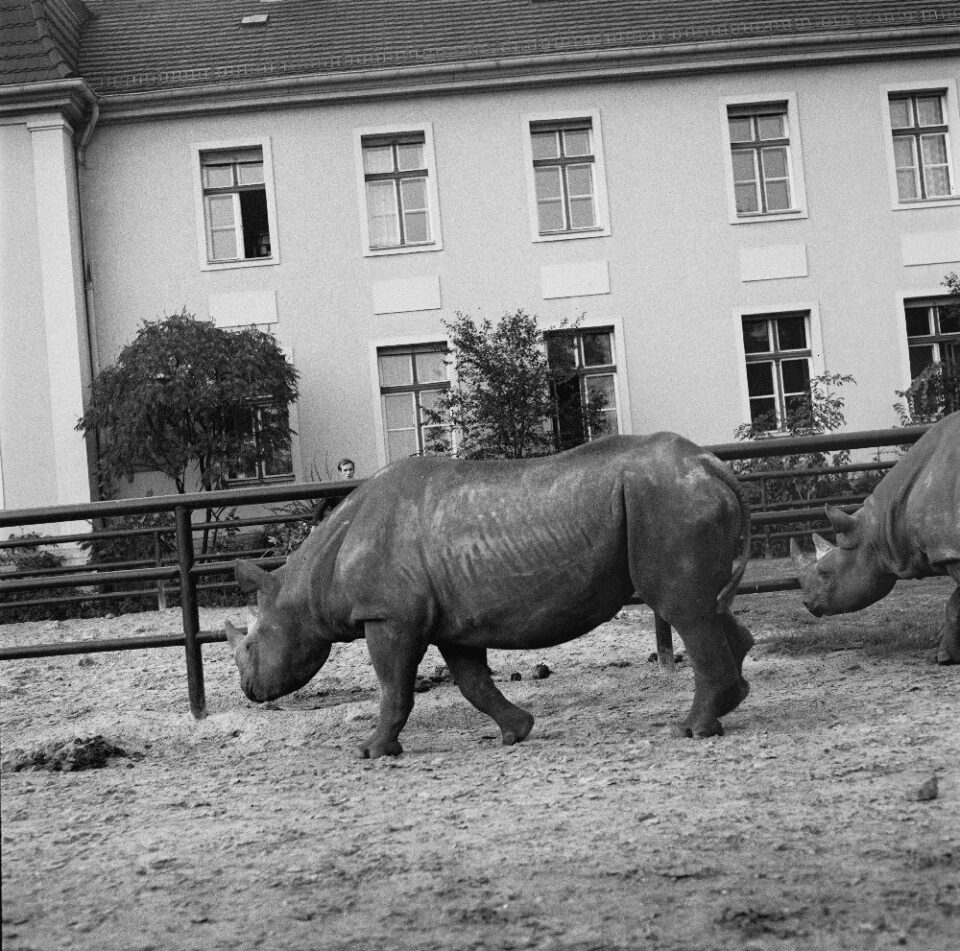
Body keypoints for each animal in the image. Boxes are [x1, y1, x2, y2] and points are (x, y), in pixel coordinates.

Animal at [224, 434, 754, 758]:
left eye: (250, 645)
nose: (250, 692)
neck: (308, 580)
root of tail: (711, 464)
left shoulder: (388, 617)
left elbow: (393, 686)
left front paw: (372, 751)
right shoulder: (452, 623)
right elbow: (473, 683)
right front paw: (517, 731)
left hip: (668, 500)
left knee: (684, 608)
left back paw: (691, 730)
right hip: (674, 497)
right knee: (707, 604)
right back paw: (727, 709)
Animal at [790, 412, 960, 664]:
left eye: (826, 573)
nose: (807, 603)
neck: (880, 525)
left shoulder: (951, 550)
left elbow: (955, 604)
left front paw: (944, 657)